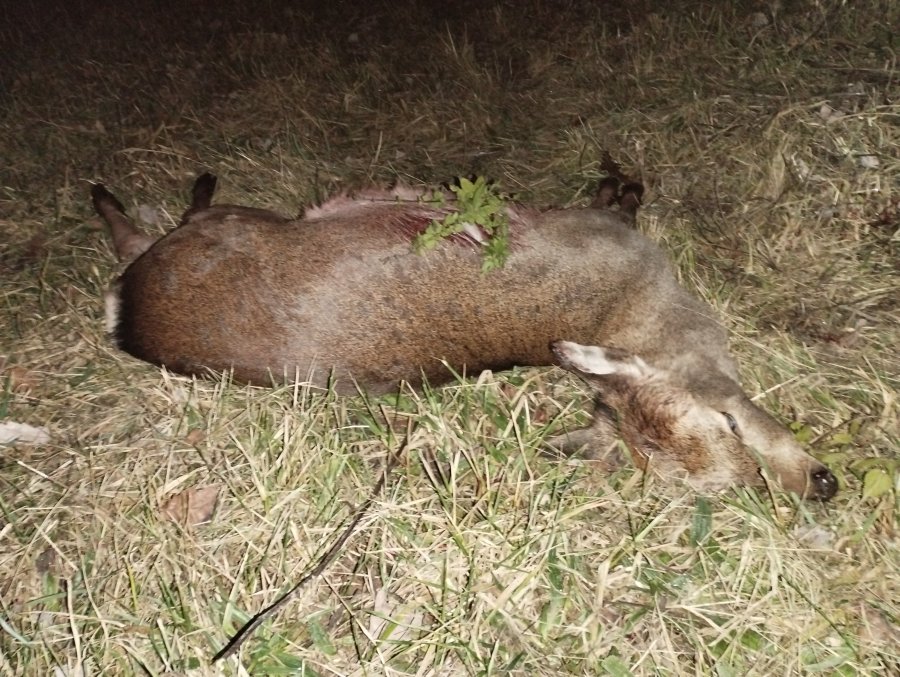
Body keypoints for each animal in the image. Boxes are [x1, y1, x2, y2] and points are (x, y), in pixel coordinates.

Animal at [90, 172, 838, 500]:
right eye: (729, 423)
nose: (821, 482)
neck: (642, 315)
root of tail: (127, 317)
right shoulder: (601, 230)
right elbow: (618, 200)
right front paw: (620, 183)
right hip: (226, 227)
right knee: (165, 220)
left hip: (221, 229)